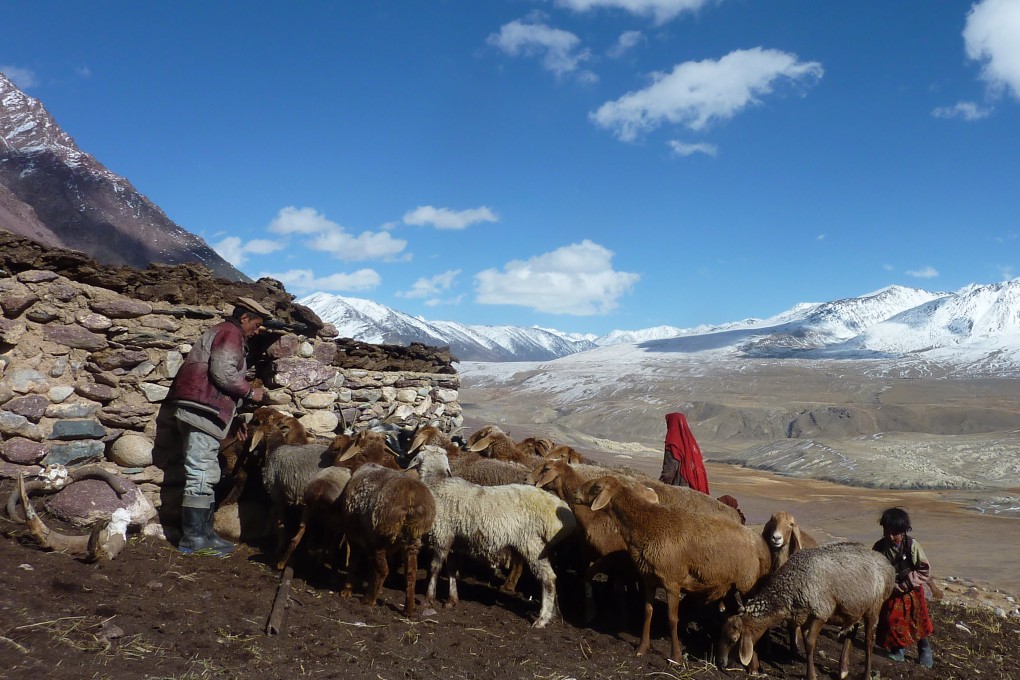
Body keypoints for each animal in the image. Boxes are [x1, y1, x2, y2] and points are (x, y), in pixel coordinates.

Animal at [410, 446, 579, 628]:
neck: (436, 483)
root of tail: (566, 514)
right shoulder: (455, 542)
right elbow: (452, 569)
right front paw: (451, 600)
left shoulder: (443, 535)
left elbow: (435, 568)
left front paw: (428, 599)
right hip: (548, 549)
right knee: (554, 579)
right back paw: (554, 613)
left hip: (533, 544)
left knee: (548, 578)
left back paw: (542, 619)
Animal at [718, 542, 893, 680]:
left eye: (733, 639)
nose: (720, 663)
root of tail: (887, 564)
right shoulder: (803, 617)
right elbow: (807, 643)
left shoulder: (820, 612)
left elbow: (809, 643)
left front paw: (811, 675)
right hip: (853, 607)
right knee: (852, 630)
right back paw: (843, 669)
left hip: (874, 606)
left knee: (869, 640)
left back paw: (866, 674)